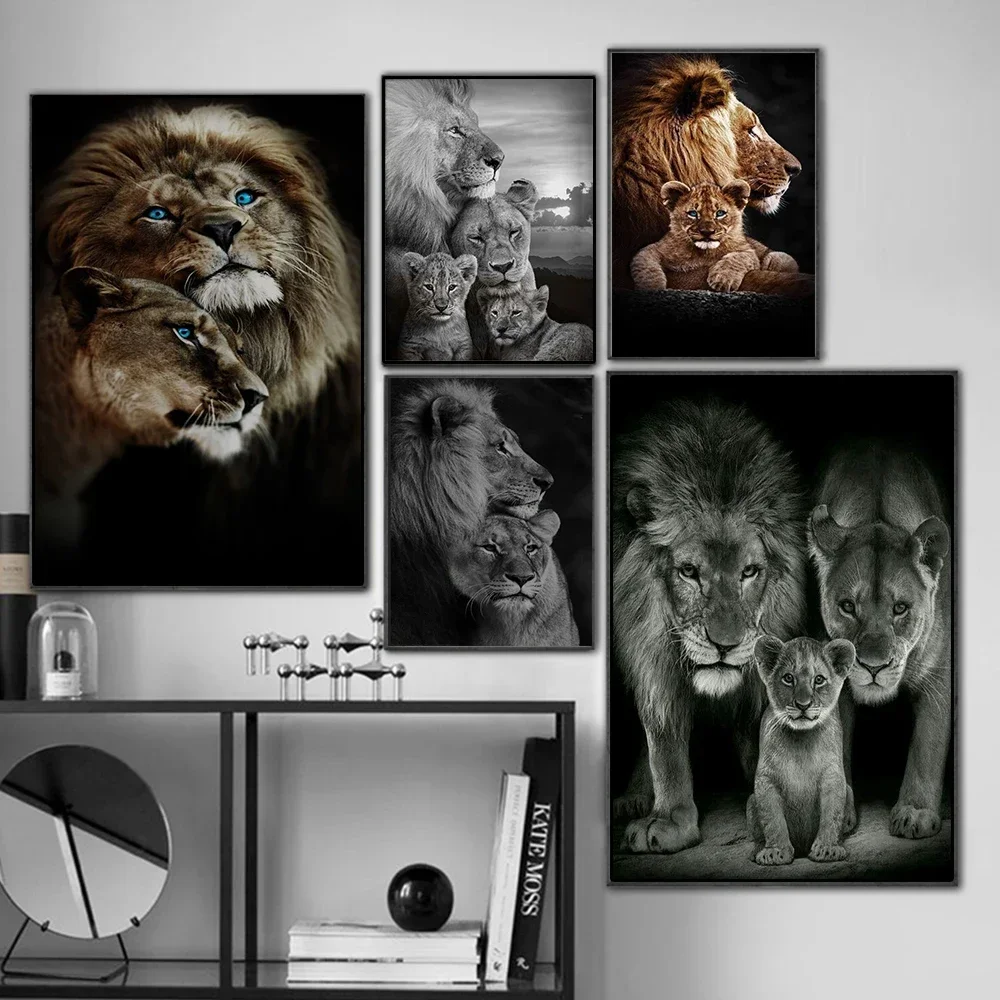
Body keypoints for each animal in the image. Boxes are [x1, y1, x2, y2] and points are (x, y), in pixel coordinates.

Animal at [612, 398, 807, 854]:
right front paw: (669, 821)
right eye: (688, 571)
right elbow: (664, 744)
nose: (725, 645)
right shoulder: (651, 655)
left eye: (749, 572)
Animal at [808, 445, 952, 840]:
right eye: (847, 606)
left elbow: (928, 744)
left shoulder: (940, 673)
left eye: (900, 608)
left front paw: (915, 813)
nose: (873, 667)